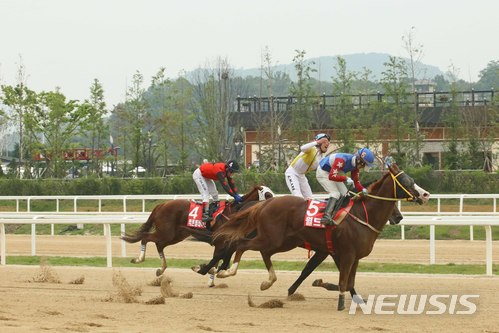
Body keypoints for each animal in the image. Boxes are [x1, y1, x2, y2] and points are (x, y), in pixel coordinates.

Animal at [122, 184, 276, 274]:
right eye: (268, 194)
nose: (275, 202)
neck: (235, 212)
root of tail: (162, 205)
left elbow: (222, 259)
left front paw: (211, 270)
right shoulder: (220, 241)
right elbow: (218, 257)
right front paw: (206, 270)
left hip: (176, 235)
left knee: (159, 244)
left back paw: (161, 268)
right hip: (166, 232)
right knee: (146, 238)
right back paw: (139, 259)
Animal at [214, 163, 430, 308]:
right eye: (406, 180)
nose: (426, 194)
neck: (361, 214)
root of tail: (265, 203)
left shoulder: (344, 254)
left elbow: (345, 281)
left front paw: (354, 297)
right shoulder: (342, 253)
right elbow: (339, 279)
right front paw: (334, 295)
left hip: (282, 242)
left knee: (263, 252)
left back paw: (267, 281)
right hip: (271, 238)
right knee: (242, 244)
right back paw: (226, 272)